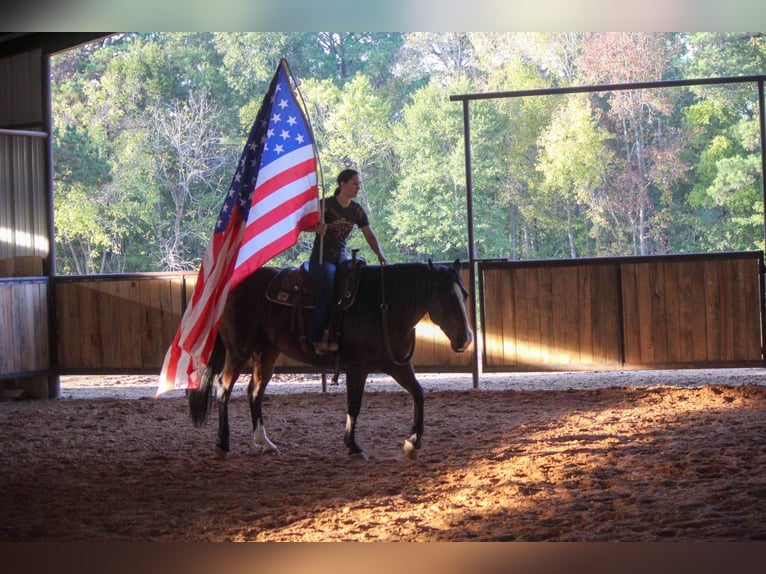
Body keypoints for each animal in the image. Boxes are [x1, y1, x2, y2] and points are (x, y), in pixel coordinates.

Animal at [188, 260, 474, 464]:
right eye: (446, 297)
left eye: (465, 295)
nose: (466, 339)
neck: (384, 306)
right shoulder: (358, 367)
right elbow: (354, 405)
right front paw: (354, 447)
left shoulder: (397, 366)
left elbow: (419, 394)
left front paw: (412, 443)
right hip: (239, 350)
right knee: (223, 388)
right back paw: (223, 444)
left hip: (266, 352)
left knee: (255, 391)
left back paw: (265, 443)